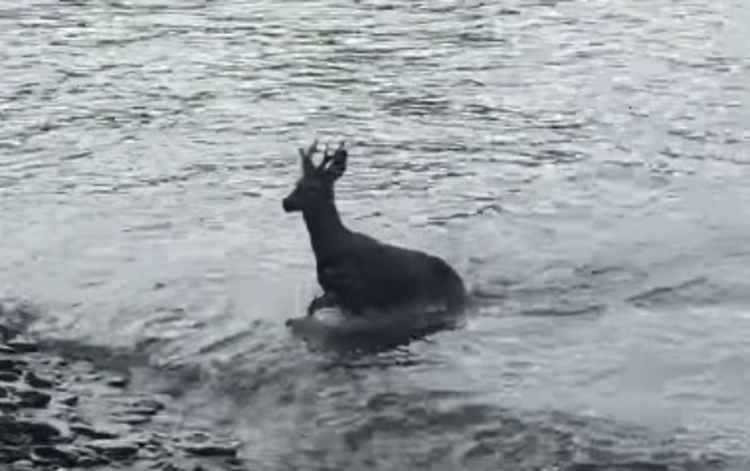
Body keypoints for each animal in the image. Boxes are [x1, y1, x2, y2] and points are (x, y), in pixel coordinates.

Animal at [284, 139, 470, 320]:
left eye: (312, 188)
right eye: (297, 184)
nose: (286, 202)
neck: (330, 245)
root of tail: (460, 284)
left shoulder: (353, 295)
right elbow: (311, 307)